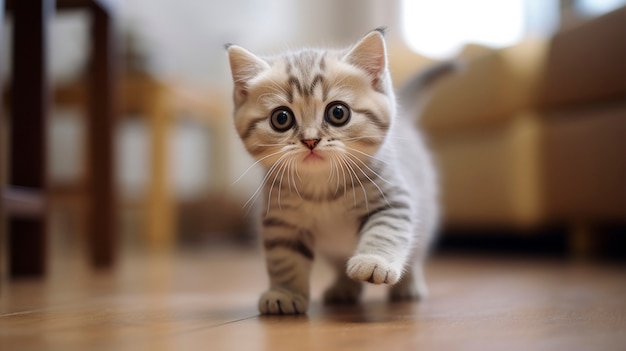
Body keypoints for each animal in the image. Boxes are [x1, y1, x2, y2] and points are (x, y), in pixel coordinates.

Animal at [225, 26, 438, 314]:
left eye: (338, 113)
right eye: (281, 118)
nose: (310, 140)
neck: (321, 187)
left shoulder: (392, 200)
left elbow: (385, 231)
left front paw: (374, 261)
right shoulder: (282, 222)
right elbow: (284, 259)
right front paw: (285, 293)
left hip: (424, 218)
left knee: (415, 252)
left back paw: (408, 286)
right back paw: (343, 288)